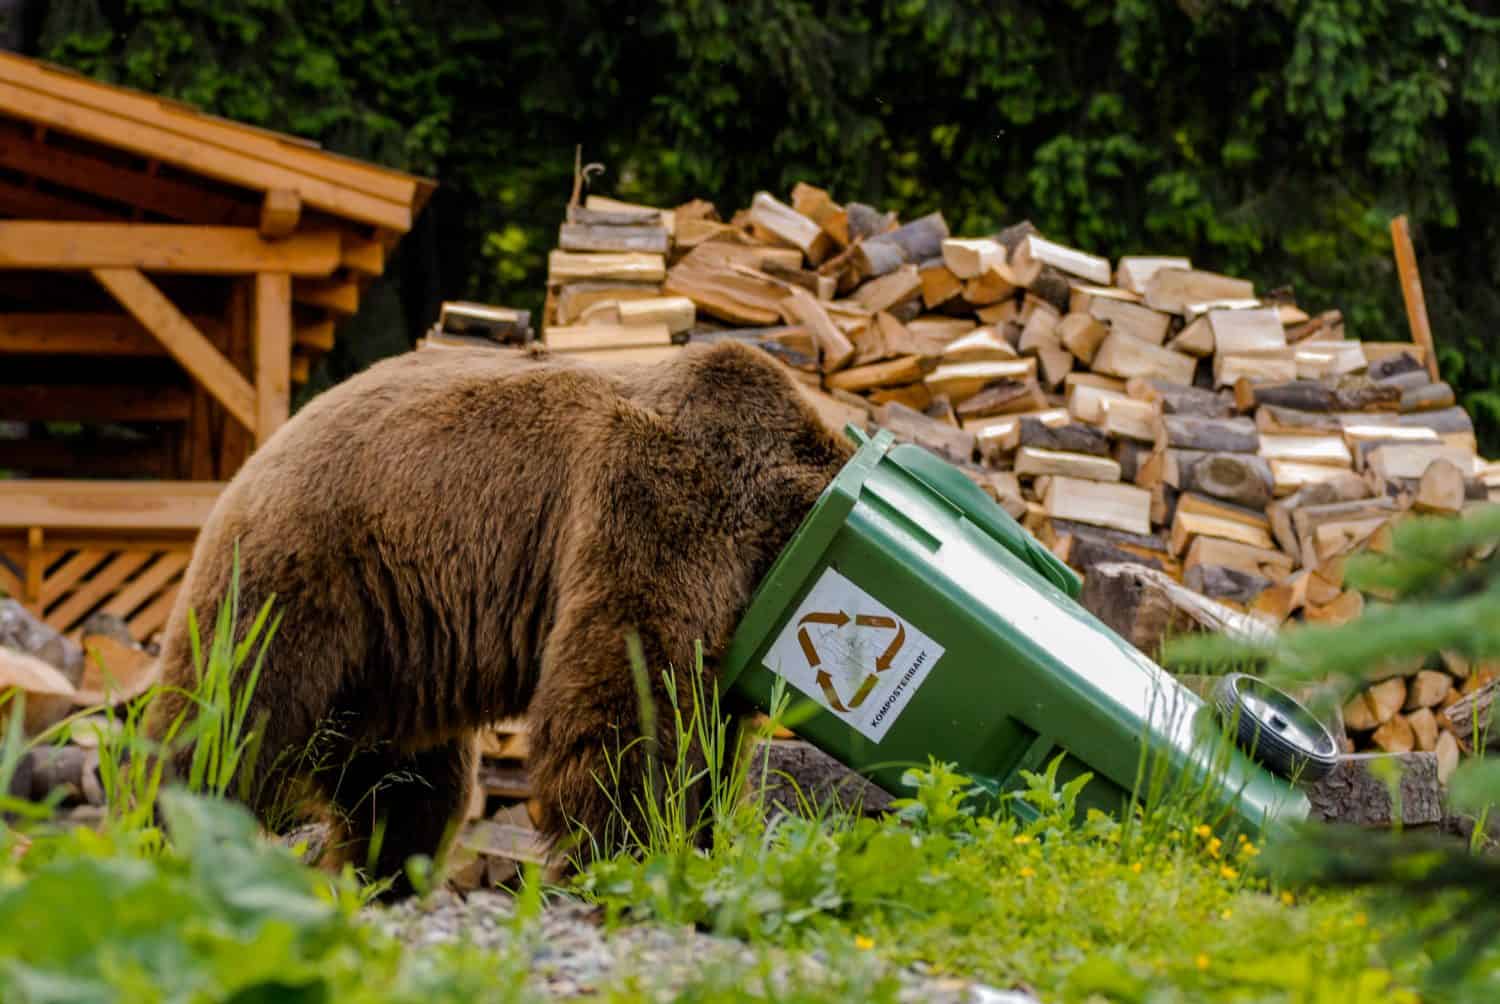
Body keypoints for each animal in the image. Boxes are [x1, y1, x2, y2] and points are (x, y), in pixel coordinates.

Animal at [152, 339, 864, 894]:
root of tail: (267, 446)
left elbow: (708, 738)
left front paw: (699, 837)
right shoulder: (655, 511)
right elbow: (629, 704)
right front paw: (629, 853)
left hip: (391, 648)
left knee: (406, 781)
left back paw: (383, 870)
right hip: (307, 575)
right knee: (229, 715)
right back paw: (173, 825)